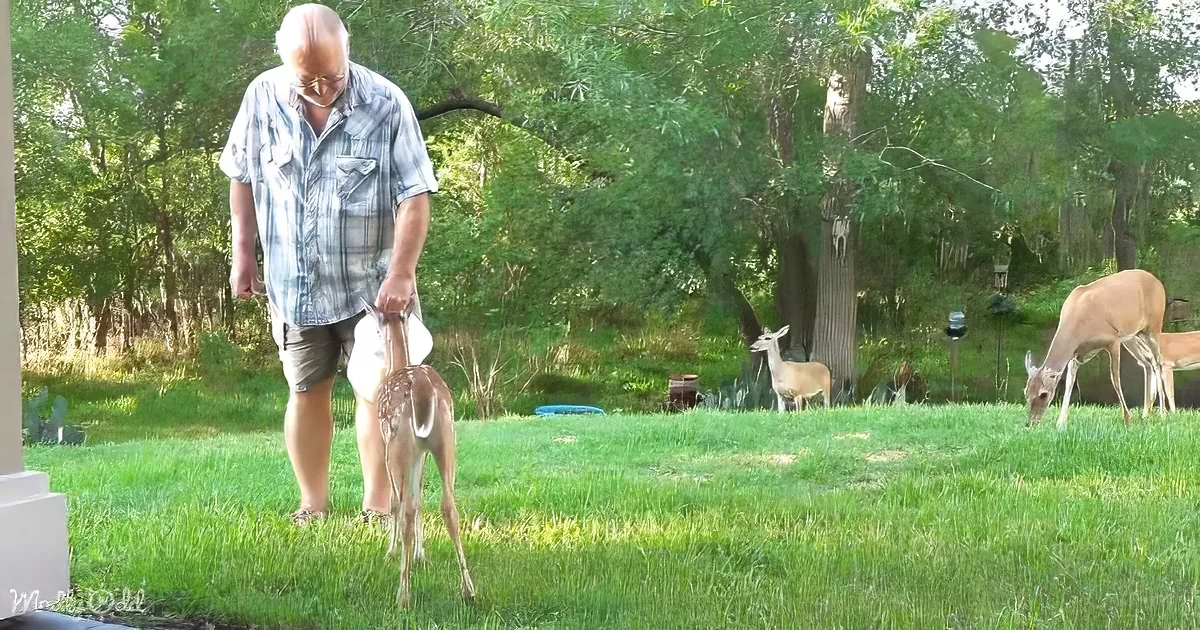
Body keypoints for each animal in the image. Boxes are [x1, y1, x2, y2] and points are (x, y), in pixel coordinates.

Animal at [364, 299, 476, 609]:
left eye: (376, 327)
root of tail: (423, 388)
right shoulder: (421, 453)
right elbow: (420, 496)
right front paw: (421, 554)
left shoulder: (386, 444)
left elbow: (395, 502)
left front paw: (391, 552)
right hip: (446, 438)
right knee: (448, 505)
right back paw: (468, 590)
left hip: (399, 442)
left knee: (405, 508)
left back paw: (403, 594)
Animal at [1024, 268, 1168, 430]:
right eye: (1026, 392)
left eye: (1044, 394)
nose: (1031, 423)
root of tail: (1157, 281)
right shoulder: (1076, 353)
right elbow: (1070, 382)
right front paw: (1061, 422)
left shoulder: (1113, 340)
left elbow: (1115, 380)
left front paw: (1127, 418)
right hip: (1132, 335)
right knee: (1147, 361)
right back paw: (1146, 412)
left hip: (1154, 326)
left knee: (1157, 361)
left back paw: (1163, 413)